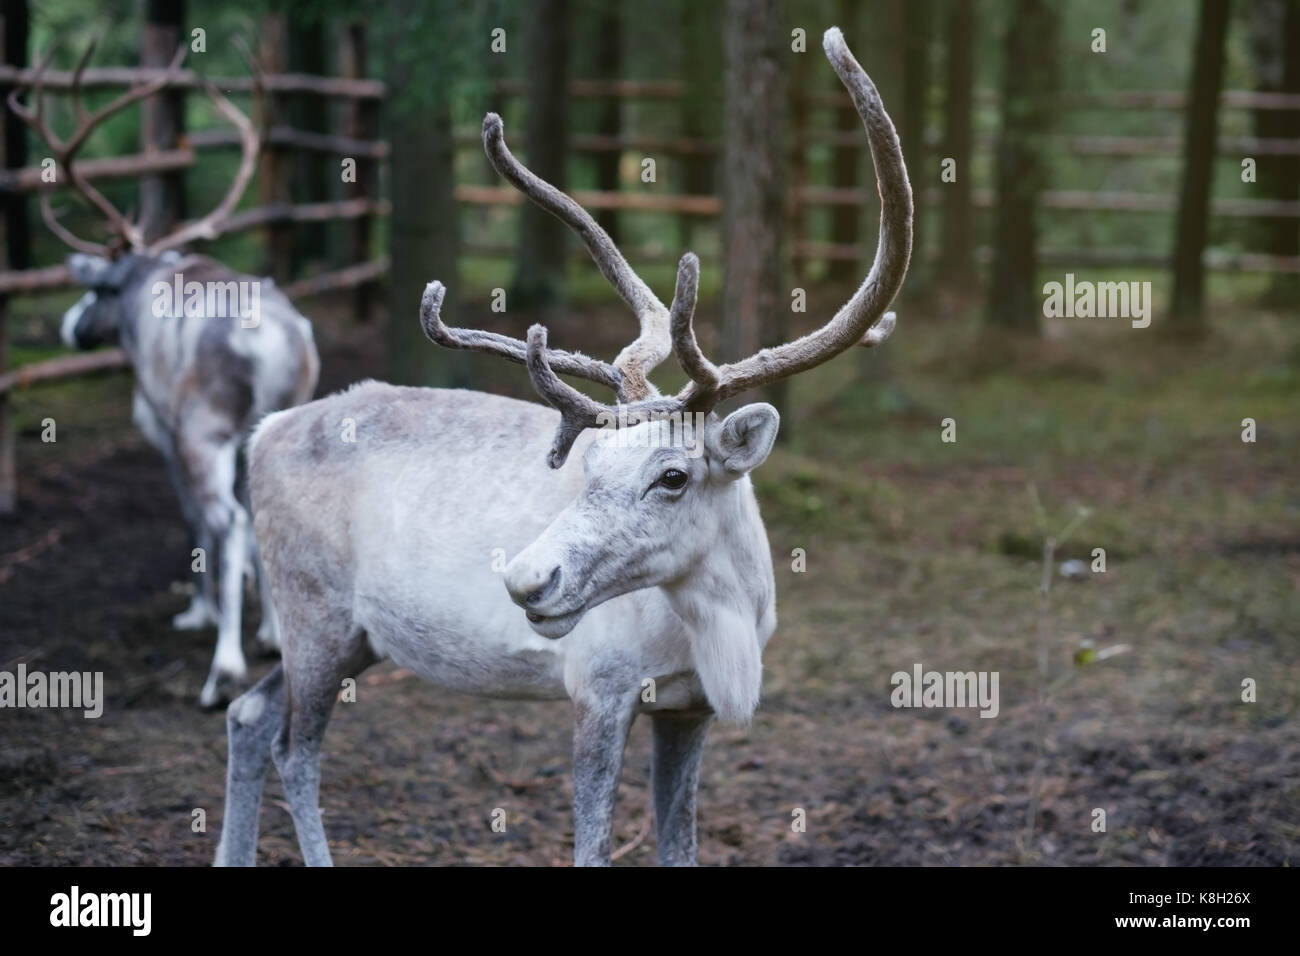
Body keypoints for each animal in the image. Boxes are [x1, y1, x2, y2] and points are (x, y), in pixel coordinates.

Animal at [9, 42, 321, 708]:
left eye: (96, 290)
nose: (70, 327)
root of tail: (275, 339)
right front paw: (264, 626)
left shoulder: (164, 431)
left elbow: (194, 521)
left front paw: (199, 613)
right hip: (282, 421)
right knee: (264, 515)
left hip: (203, 431)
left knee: (227, 521)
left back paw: (222, 671)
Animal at [215, 27, 910, 867]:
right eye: (591, 464)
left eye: (672, 476)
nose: (524, 580)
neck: (727, 625)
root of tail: (265, 433)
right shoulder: (599, 689)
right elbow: (591, 845)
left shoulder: (688, 708)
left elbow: (680, 844)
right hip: (312, 614)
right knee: (295, 748)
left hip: (351, 636)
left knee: (248, 717)